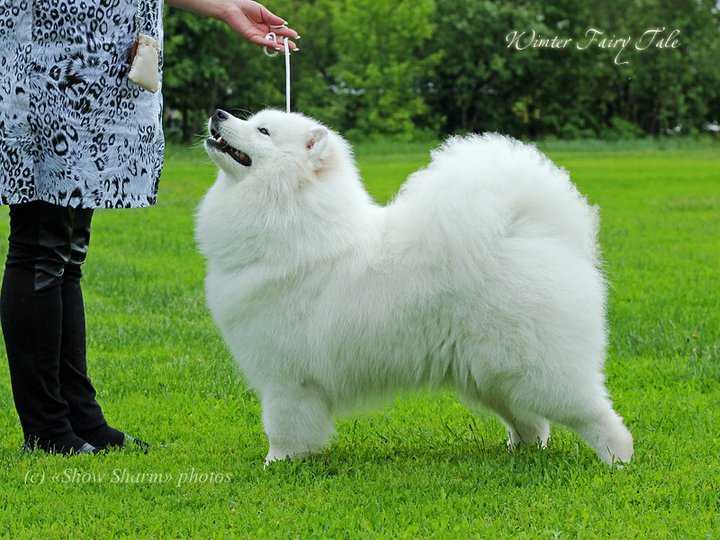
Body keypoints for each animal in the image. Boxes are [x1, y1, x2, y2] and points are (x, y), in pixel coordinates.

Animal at [197, 108, 636, 464]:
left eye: (263, 130)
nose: (218, 113)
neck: (290, 215)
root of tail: (538, 232)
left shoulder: (286, 378)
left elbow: (284, 427)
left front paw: (277, 464)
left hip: (539, 370)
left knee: (593, 413)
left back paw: (618, 459)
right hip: (491, 374)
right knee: (531, 423)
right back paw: (521, 451)